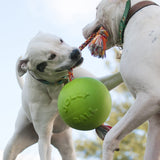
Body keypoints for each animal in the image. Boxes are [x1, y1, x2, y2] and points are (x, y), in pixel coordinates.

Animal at [3, 31, 122, 160]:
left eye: (60, 40)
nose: (75, 53)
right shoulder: (44, 137)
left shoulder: (102, 82)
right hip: (14, 145)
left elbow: (118, 76)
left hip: (67, 148)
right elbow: (45, 149)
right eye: (51, 56)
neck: (55, 86)